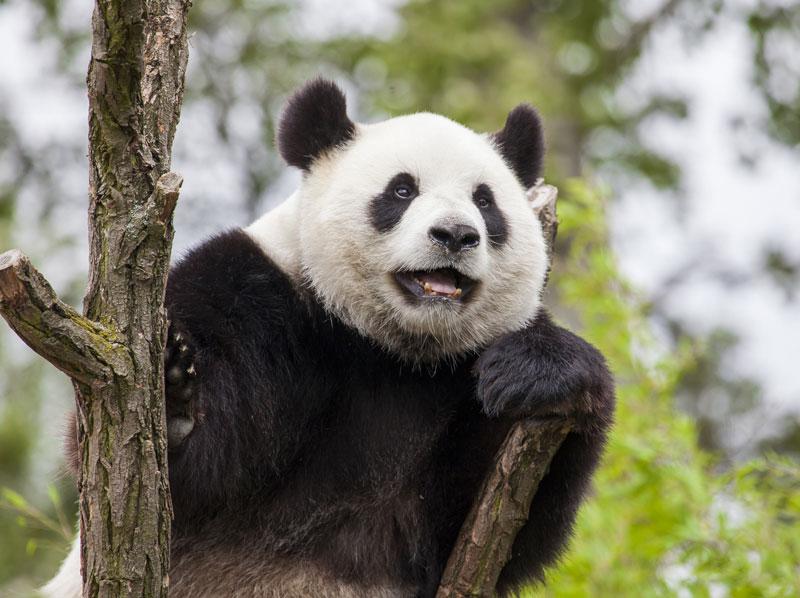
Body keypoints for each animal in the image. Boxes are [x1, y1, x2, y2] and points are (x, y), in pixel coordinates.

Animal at [44, 79, 614, 598]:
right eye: (402, 190)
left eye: (485, 201)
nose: (455, 234)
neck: (395, 348)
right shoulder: (255, 291)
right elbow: (163, 478)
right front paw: (172, 398)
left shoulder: (454, 383)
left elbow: (491, 530)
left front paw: (540, 371)